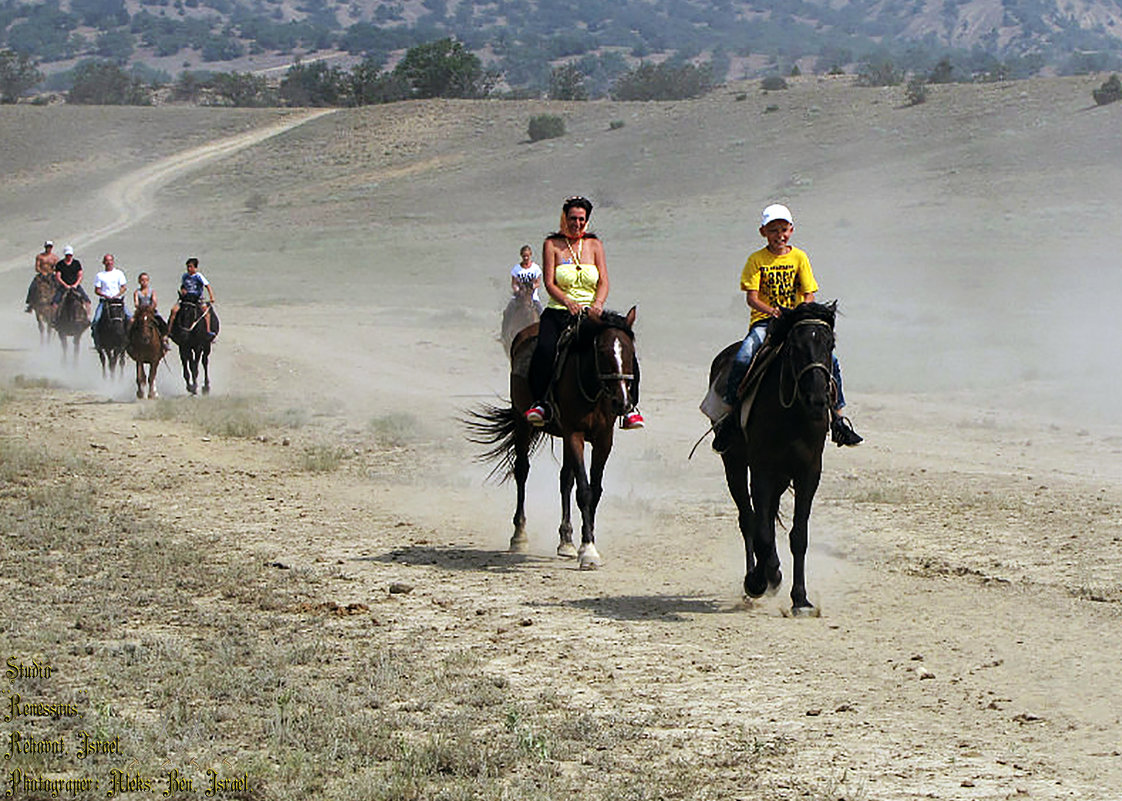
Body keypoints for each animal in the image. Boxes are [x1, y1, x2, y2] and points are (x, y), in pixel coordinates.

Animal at [466, 305, 641, 567]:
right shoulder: (574, 433)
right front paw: (588, 550)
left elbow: (595, 490)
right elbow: (584, 491)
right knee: (522, 471)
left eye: (630, 352)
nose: (622, 403)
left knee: (565, 479)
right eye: (602, 351)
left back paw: (566, 541)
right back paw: (519, 536)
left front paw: (586, 542)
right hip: (523, 422)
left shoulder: (603, 439)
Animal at [704, 300, 839, 610]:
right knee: (748, 518)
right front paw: (759, 581)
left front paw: (800, 598)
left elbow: (798, 535)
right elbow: (761, 530)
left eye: (830, 345)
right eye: (795, 347)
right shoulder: (761, 470)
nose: (818, 399)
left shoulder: (808, 473)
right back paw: (760, 576)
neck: (793, 414)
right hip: (735, 463)